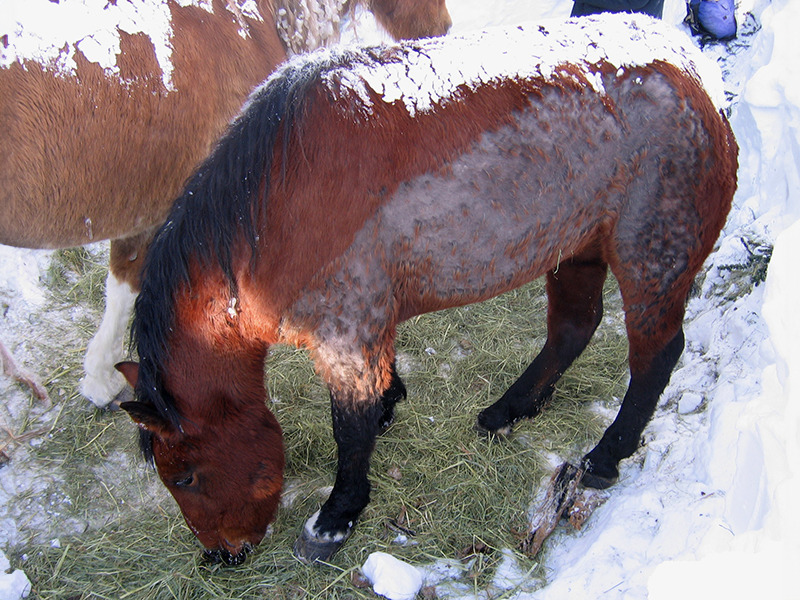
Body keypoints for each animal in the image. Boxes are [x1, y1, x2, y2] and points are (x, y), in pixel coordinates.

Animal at [117, 14, 738, 565]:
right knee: (573, 329)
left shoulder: (346, 333)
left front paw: (336, 517)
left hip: (650, 260)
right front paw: (389, 407)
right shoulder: (367, 323)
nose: (222, 557)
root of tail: (695, 72)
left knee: (655, 356)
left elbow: (350, 430)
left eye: (185, 475)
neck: (271, 197)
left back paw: (606, 456)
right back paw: (509, 410)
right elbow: (376, 395)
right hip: (578, 247)